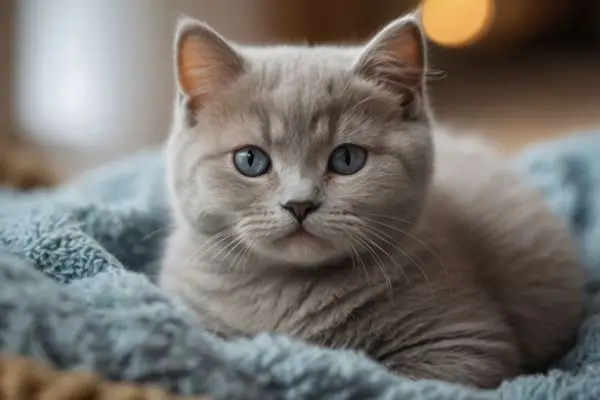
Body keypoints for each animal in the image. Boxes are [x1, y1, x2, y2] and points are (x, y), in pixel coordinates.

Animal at [161, 14, 584, 390]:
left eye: (347, 159)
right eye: (251, 160)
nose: (299, 204)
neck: (286, 293)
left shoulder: (468, 344)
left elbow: (394, 380)